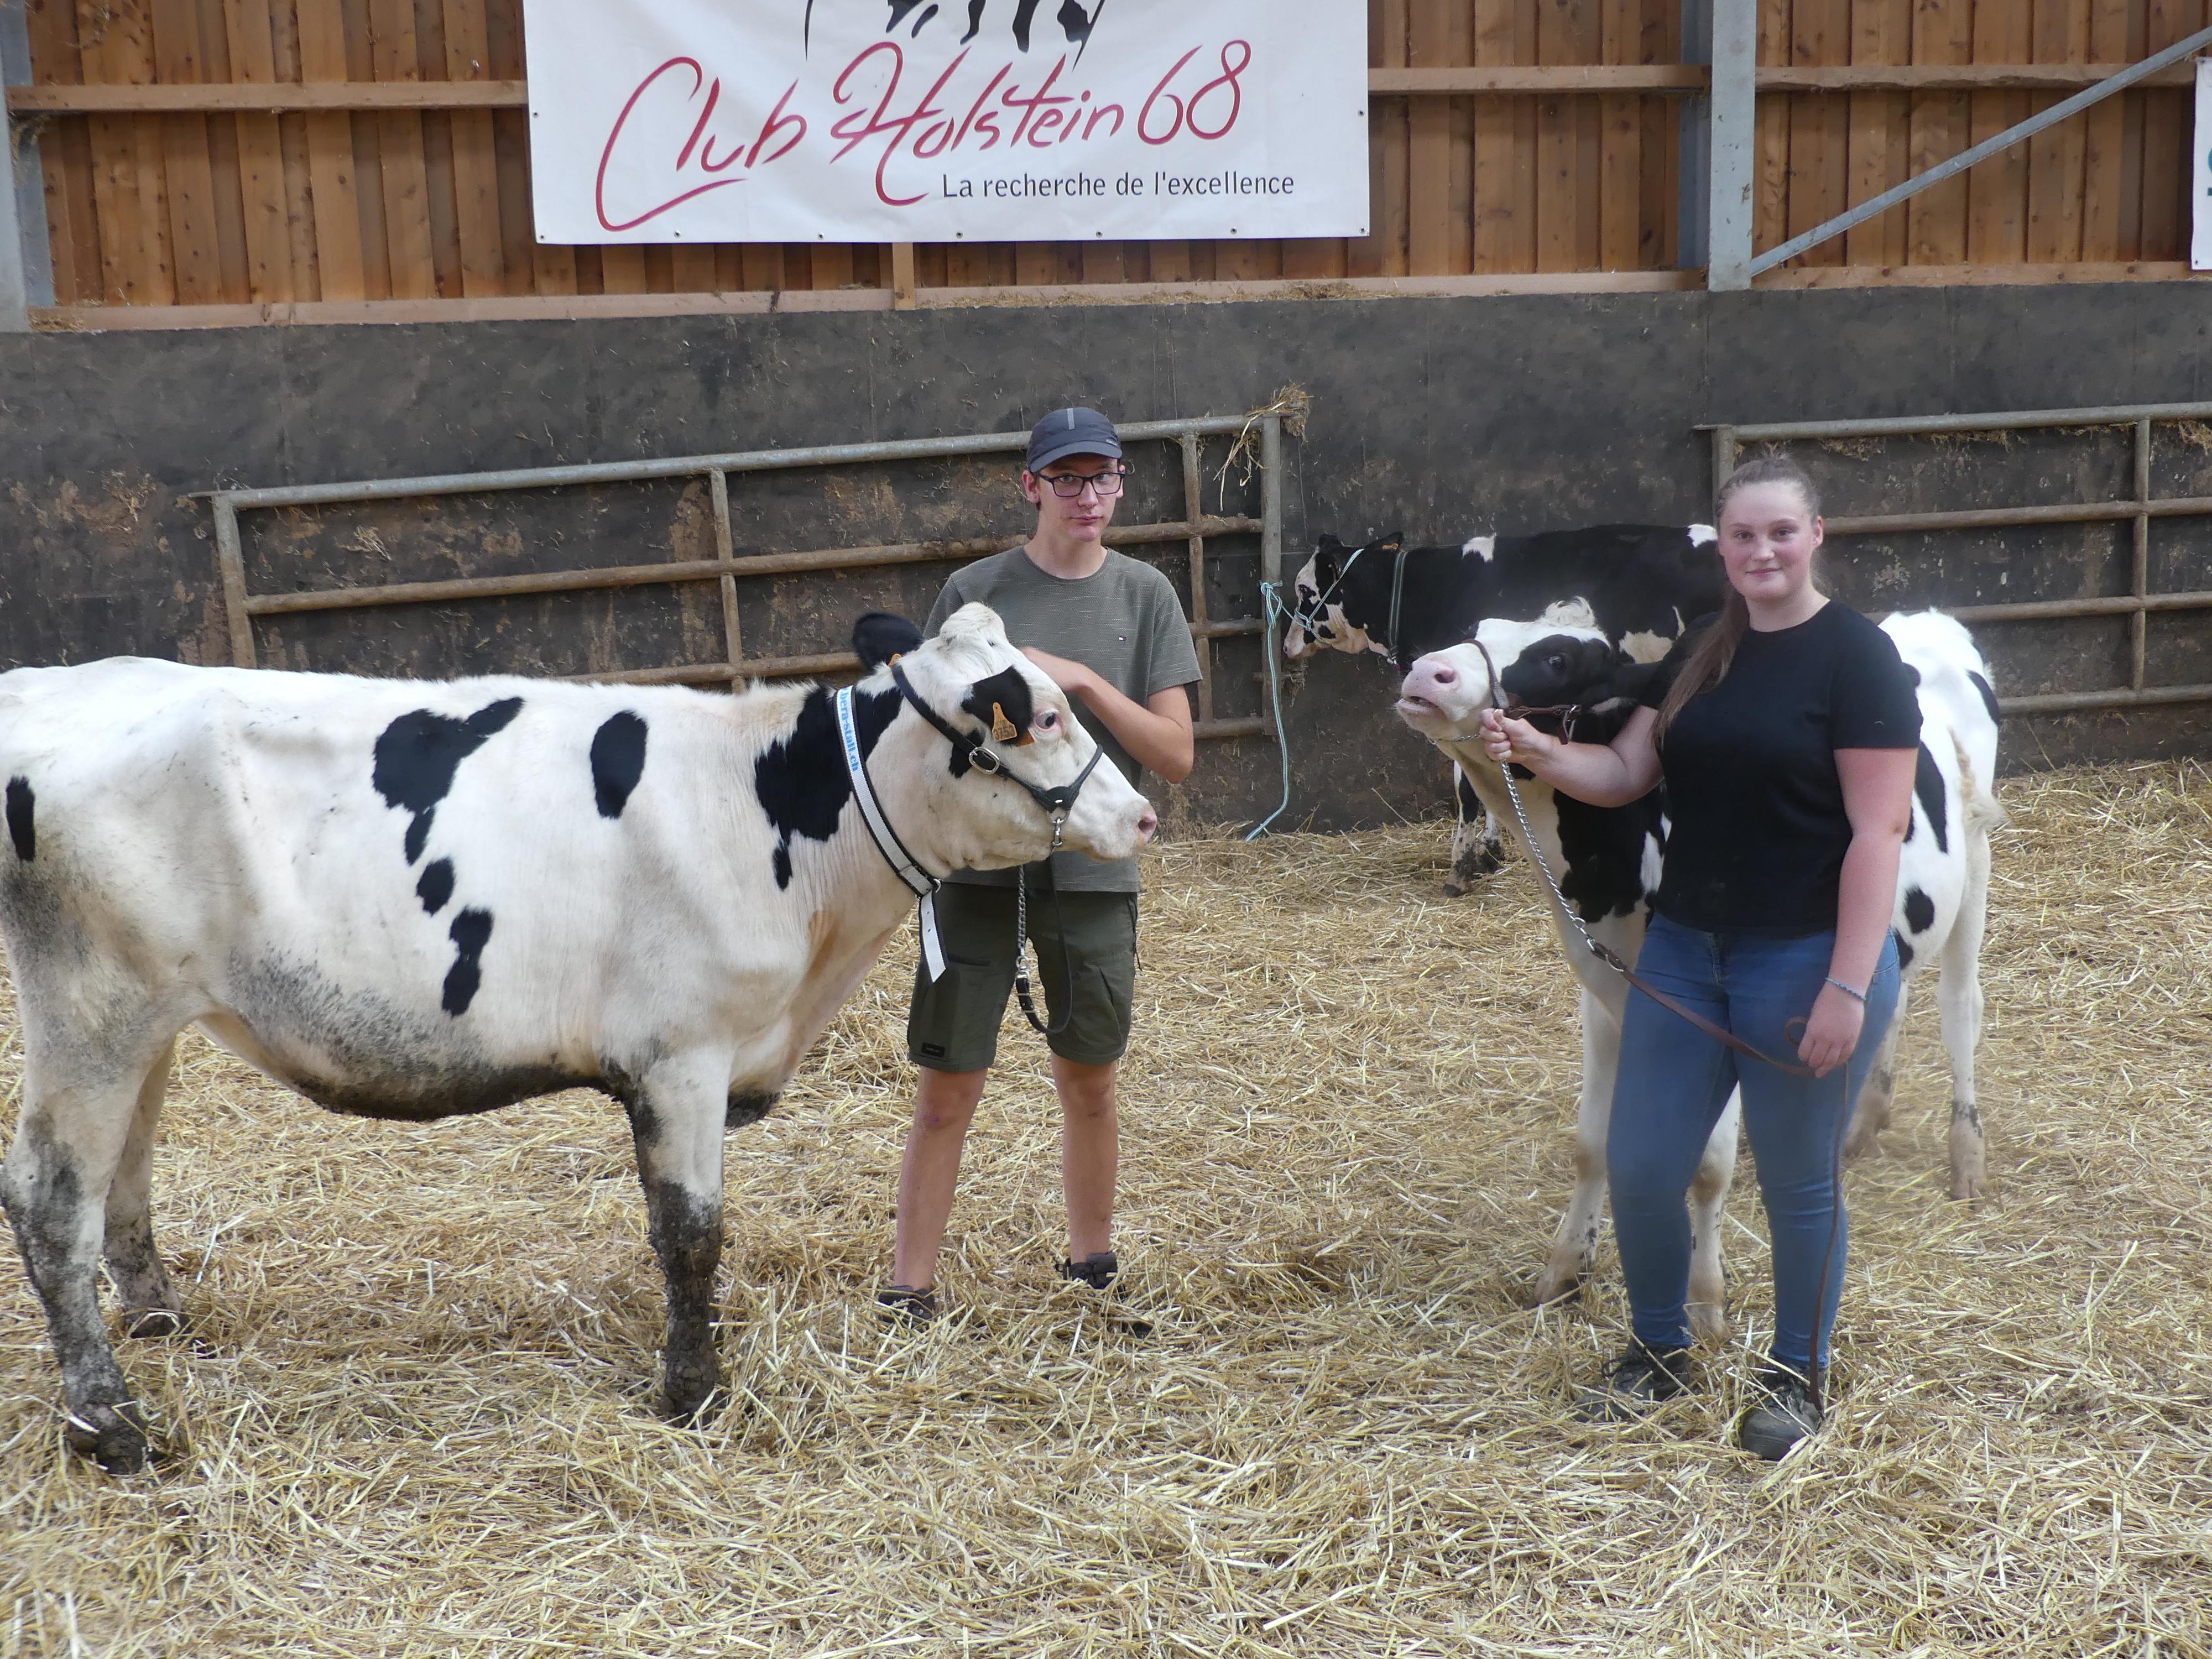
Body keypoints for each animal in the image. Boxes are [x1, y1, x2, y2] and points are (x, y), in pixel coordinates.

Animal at [0, 606, 1150, 1478]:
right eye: (1045, 714)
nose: (1141, 814)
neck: (770, 814)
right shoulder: (682, 1055)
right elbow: (691, 1234)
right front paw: (695, 1391)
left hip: (147, 1017)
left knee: (125, 1176)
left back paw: (161, 1323)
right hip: (92, 1008)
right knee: (53, 1200)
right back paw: (110, 1426)